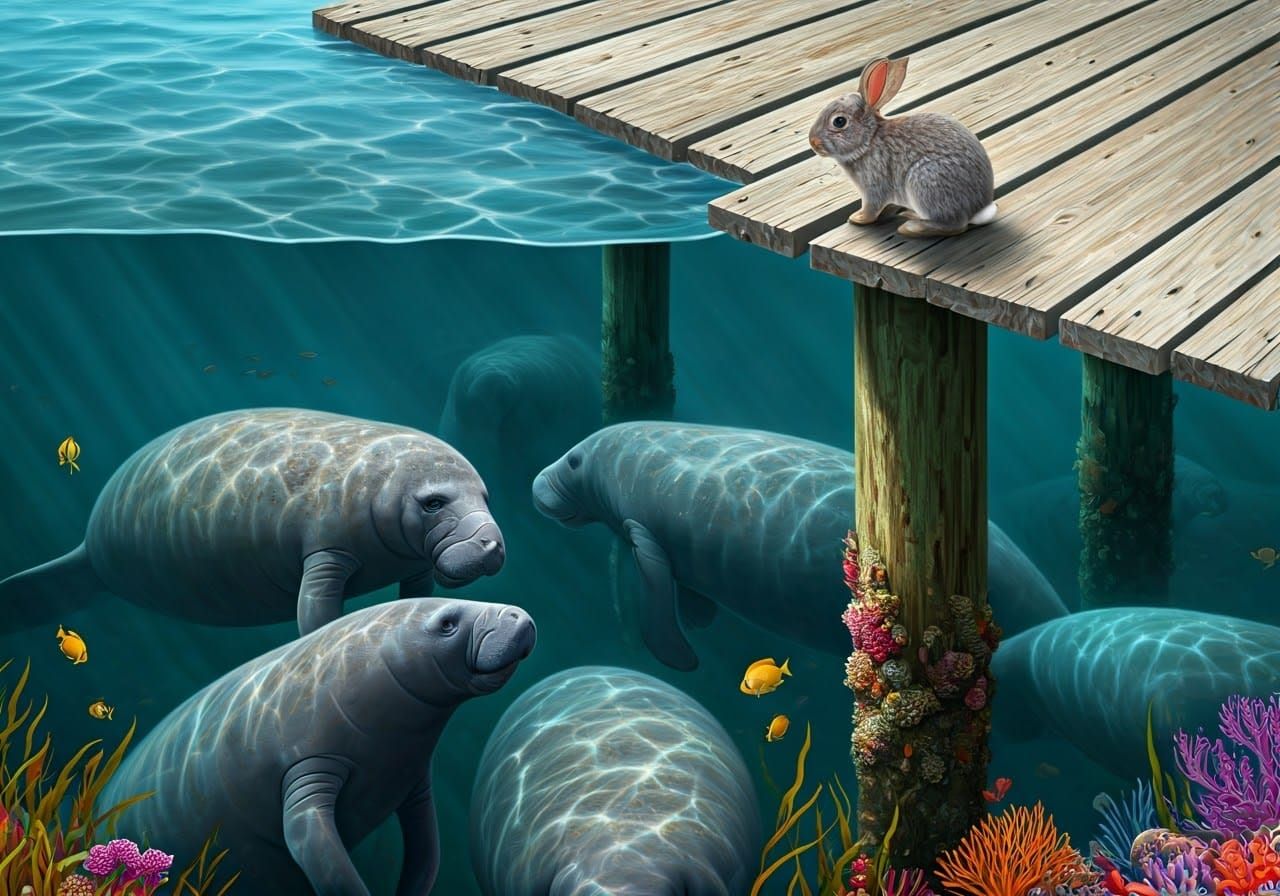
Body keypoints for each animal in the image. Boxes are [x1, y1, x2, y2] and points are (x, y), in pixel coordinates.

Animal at [808, 56, 997, 238]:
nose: (813, 142)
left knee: (955, 226)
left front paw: (858, 218)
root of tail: (978, 208)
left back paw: (911, 227)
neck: (868, 140)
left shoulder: (874, 185)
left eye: (839, 121)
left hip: (924, 182)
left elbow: (871, 207)